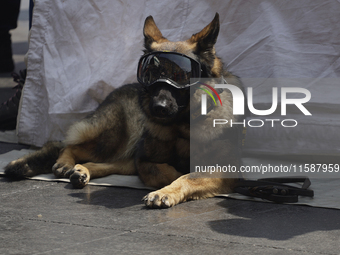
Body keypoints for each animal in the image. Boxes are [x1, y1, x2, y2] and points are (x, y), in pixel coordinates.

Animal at [5, 13, 244, 207]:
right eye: (151, 73)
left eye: (182, 75)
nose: (158, 107)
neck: (183, 127)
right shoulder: (144, 160)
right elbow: (170, 172)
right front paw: (165, 187)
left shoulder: (225, 170)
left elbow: (188, 176)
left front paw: (167, 190)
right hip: (116, 137)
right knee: (65, 145)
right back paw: (64, 164)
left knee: (98, 161)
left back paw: (80, 170)